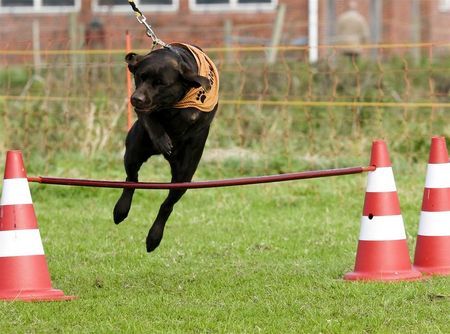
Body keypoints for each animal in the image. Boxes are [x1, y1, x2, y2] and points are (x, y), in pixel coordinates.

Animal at [112, 43, 218, 252]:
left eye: (161, 83)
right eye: (140, 77)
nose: (136, 98)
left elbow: (190, 116)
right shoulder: (145, 112)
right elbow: (150, 117)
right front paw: (162, 138)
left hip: (184, 176)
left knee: (167, 205)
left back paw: (154, 237)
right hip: (134, 150)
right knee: (131, 179)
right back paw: (121, 210)